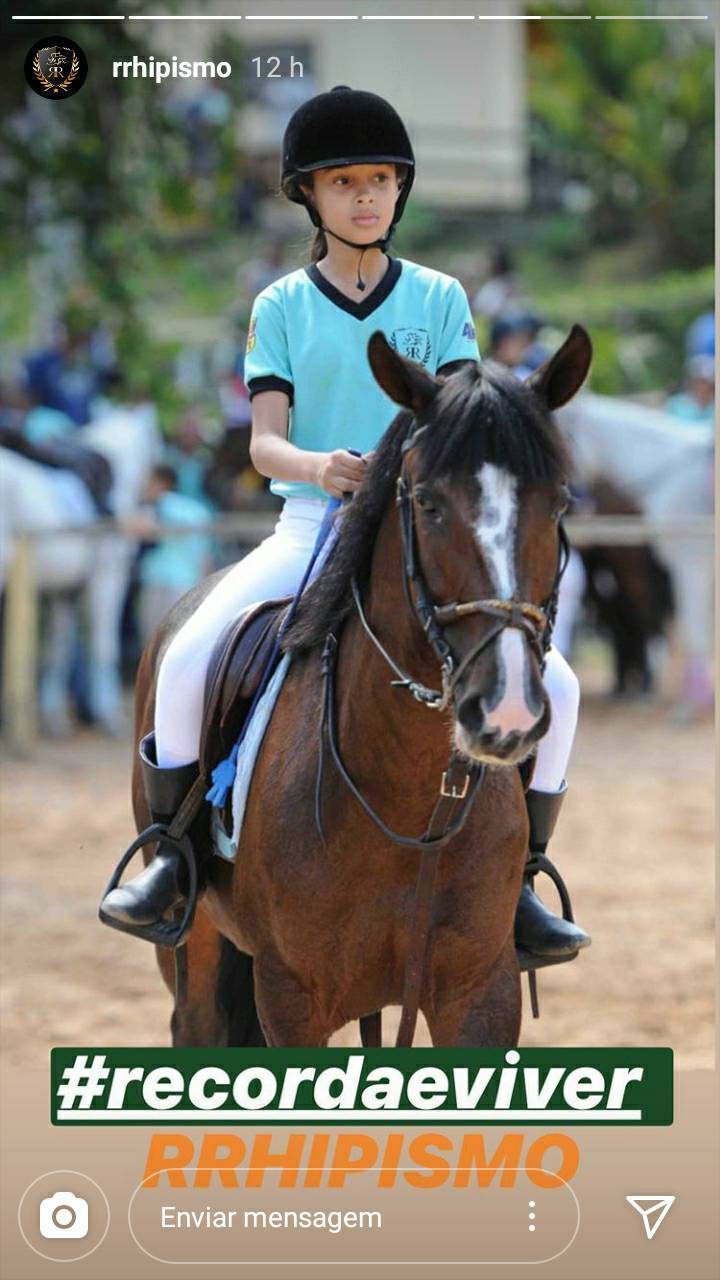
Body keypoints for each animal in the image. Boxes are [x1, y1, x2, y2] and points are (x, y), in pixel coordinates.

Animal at [0, 404, 159, 737]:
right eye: (157, 442)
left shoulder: (63, 592)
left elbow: (58, 650)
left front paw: (54, 718)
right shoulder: (107, 579)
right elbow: (103, 645)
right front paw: (108, 716)